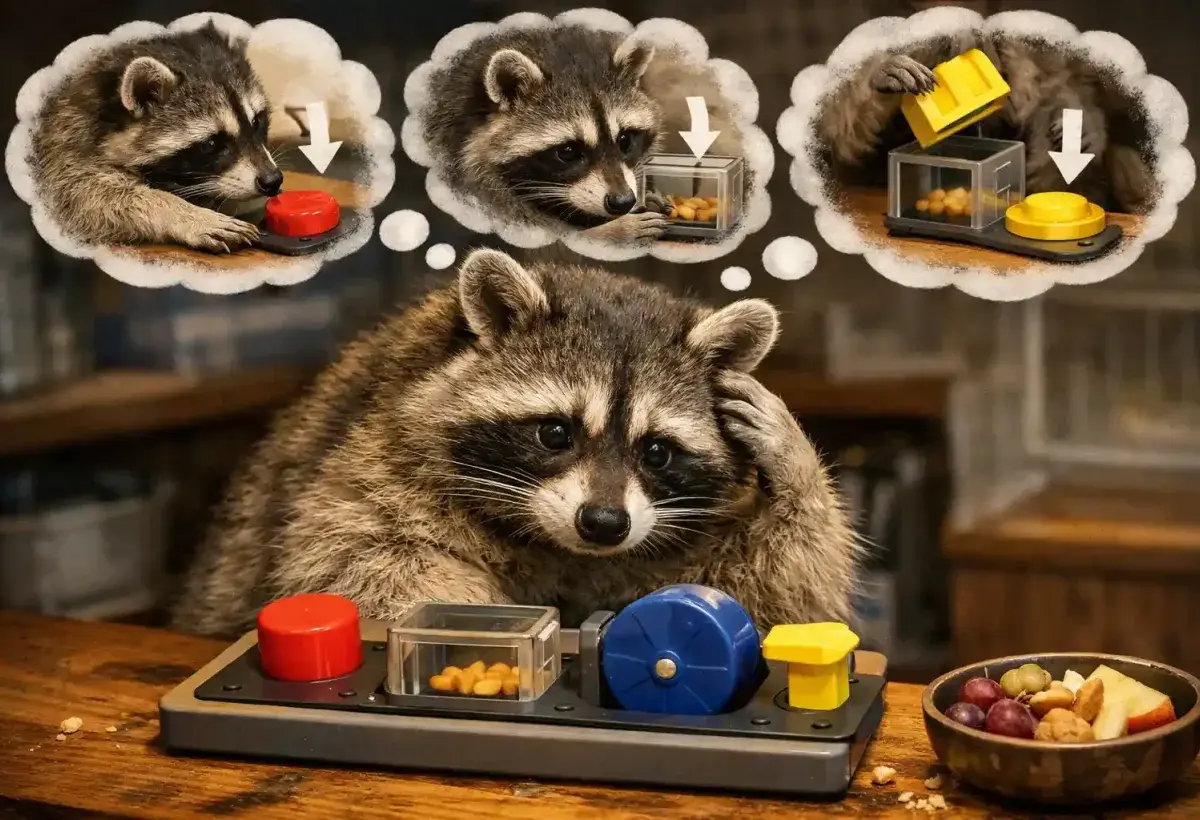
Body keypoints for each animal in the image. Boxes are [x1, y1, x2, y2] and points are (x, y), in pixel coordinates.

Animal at [28, 21, 282, 252]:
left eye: (257, 122)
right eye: (211, 143)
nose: (273, 181)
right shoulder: (65, 146)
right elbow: (85, 197)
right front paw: (184, 214)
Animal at [170, 247, 860, 639]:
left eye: (657, 451)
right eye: (555, 432)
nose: (604, 523)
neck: (558, 545)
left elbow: (773, 597)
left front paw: (795, 469)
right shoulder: (374, 452)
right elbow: (357, 567)